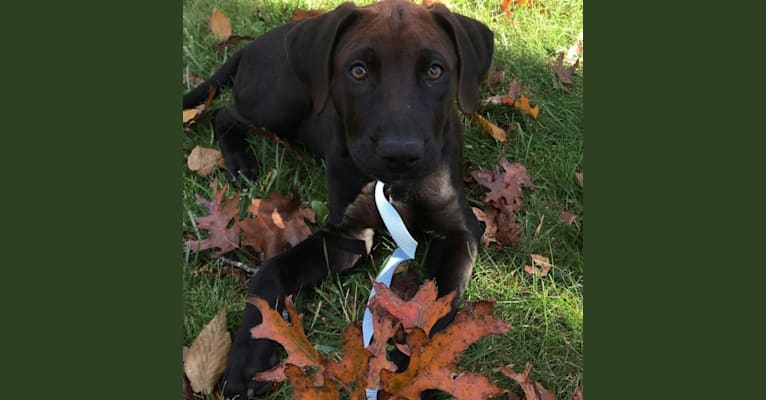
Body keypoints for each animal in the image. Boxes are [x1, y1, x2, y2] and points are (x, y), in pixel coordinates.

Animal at [183, 0, 496, 396]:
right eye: (358, 71)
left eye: (435, 71)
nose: (400, 154)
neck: (394, 187)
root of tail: (260, 41)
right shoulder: (347, 235)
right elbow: (271, 269)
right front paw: (247, 361)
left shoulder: (460, 230)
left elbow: (436, 307)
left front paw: (408, 374)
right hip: (278, 103)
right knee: (225, 114)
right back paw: (240, 162)